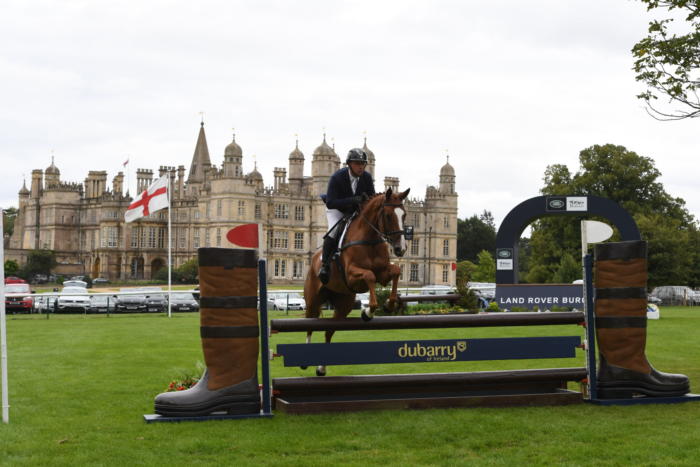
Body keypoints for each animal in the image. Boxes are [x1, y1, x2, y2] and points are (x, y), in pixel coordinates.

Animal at [302, 186, 410, 376]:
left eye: (403, 215)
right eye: (388, 215)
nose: (400, 249)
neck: (370, 239)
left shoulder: (383, 273)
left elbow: (395, 272)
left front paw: (388, 304)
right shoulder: (352, 276)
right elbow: (369, 276)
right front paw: (368, 311)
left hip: (343, 304)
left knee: (329, 331)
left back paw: (321, 368)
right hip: (313, 300)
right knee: (310, 324)